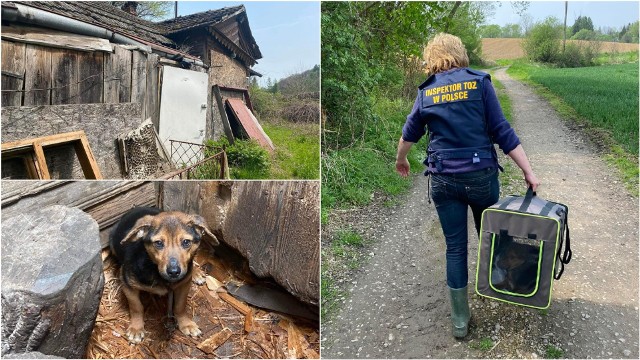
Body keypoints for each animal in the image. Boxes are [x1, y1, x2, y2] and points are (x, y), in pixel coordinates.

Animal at [109, 205, 219, 344]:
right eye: (159, 243)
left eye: (186, 242)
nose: (174, 272)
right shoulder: (127, 284)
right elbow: (136, 306)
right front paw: (136, 328)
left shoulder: (184, 285)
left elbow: (180, 306)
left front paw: (186, 324)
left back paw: (196, 273)